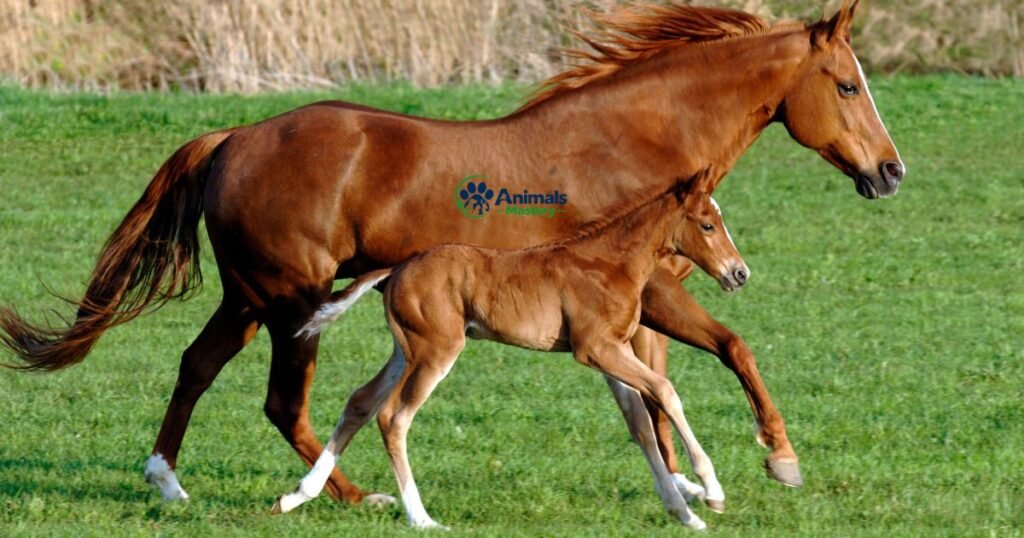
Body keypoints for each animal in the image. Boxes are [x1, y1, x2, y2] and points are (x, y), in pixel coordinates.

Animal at [274, 169, 744, 530]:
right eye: (707, 224)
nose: (739, 273)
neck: (612, 263)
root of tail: (397, 269)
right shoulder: (595, 349)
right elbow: (665, 391)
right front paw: (712, 491)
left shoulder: (614, 353)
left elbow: (641, 425)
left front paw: (685, 514)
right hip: (436, 351)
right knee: (393, 417)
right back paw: (421, 519)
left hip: (405, 350)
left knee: (360, 402)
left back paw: (297, 496)